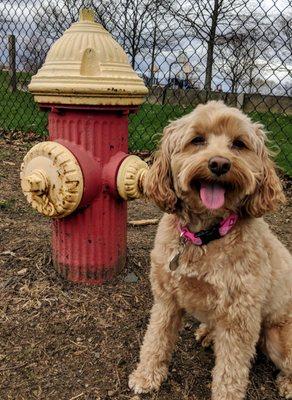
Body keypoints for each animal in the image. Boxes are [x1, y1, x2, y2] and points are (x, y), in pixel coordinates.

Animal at [129, 102, 290, 400]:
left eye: (239, 144)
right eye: (197, 140)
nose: (219, 163)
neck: (205, 236)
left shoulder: (240, 317)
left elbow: (231, 370)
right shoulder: (166, 298)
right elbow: (156, 337)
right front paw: (146, 375)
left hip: (278, 335)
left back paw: (287, 383)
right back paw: (208, 333)